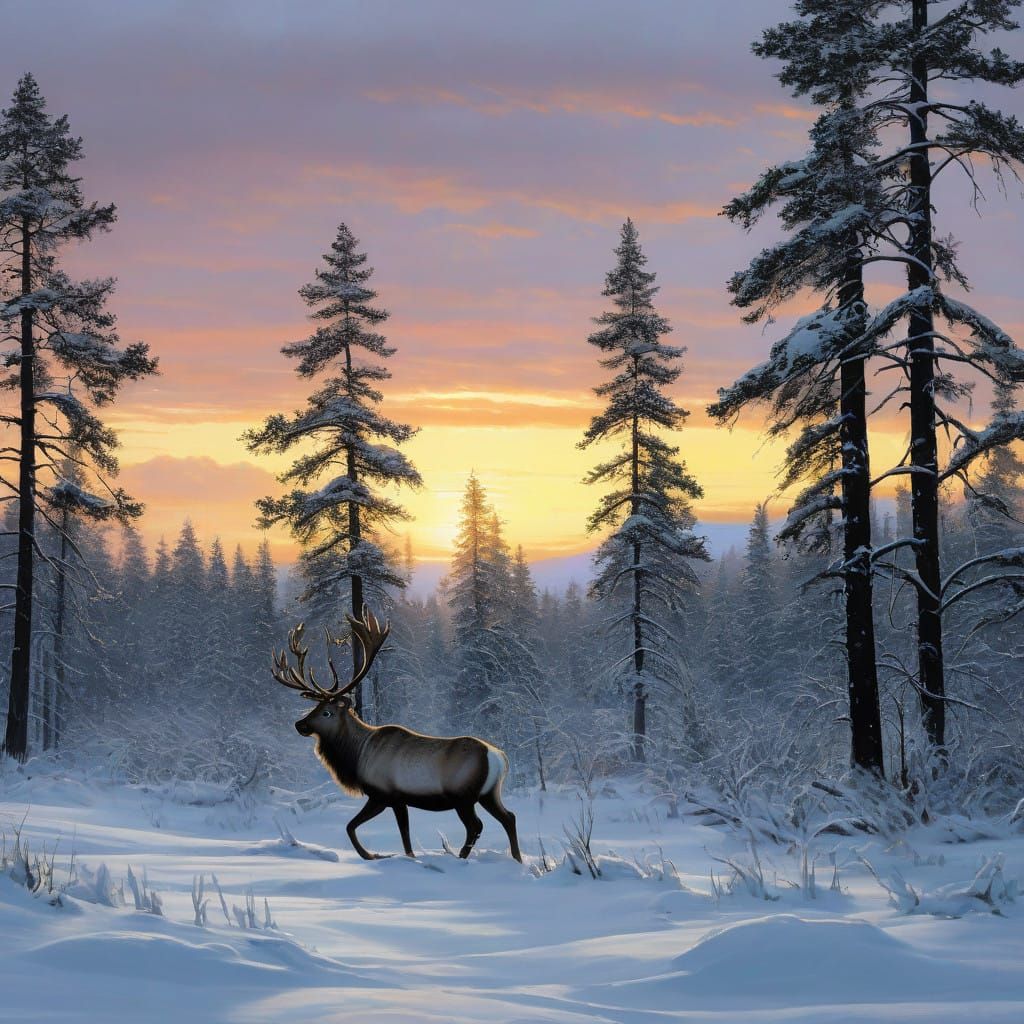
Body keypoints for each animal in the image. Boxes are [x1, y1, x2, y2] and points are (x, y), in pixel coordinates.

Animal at [272, 607, 522, 863]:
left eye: (327, 712)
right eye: (314, 707)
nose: (299, 725)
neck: (356, 756)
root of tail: (499, 758)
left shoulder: (385, 795)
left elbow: (356, 828)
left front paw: (372, 855)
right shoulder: (398, 800)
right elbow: (401, 836)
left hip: (463, 796)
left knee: (476, 826)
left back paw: (462, 858)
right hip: (489, 793)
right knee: (509, 817)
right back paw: (517, 859)